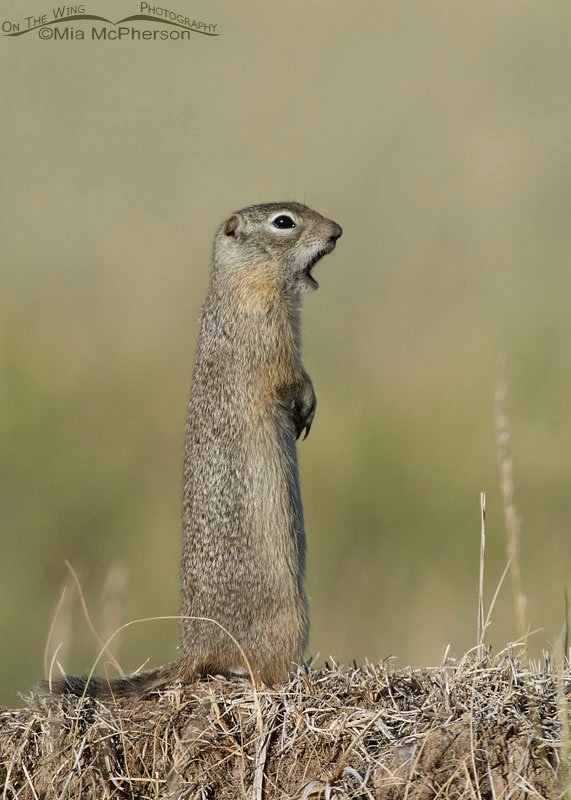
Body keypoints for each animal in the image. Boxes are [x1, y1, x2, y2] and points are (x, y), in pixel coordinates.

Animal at [39, 201, 342, 698]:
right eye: (284, 221)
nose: (338, 231)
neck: (241, 284)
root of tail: (196, 648)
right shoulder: (269, 335)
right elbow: (289, 375)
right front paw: (308, 405)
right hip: (291, 619)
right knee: (262, 672)